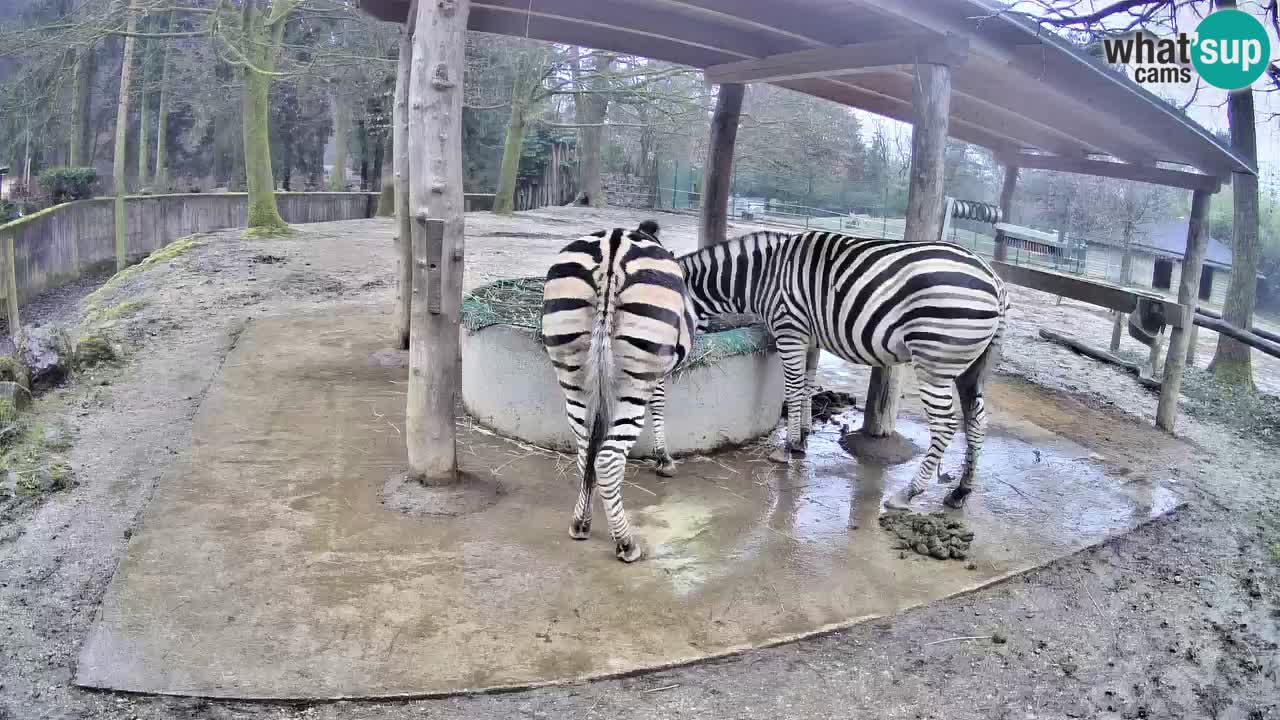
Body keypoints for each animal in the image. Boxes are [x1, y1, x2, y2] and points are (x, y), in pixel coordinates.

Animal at [541, 220, 695, 562]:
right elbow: (659, 403)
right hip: (634, 379)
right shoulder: (658, 371)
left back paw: (580, 522)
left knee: (585, 449)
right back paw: (626, 543)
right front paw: (664, 459)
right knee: (608, 459)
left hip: (571, 370)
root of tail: (613, 247)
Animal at [678, 230, 1010, 510]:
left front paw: (787, 447)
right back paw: (960, 492)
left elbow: (793, 388)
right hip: (971, 368)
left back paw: (908, 493)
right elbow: (807, 386)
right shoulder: (809, 337)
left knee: (945, 425)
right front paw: (802, 439)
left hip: (934, 361)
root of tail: (995, 280)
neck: (764, 276)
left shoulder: (789, 330)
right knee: (976, 421)